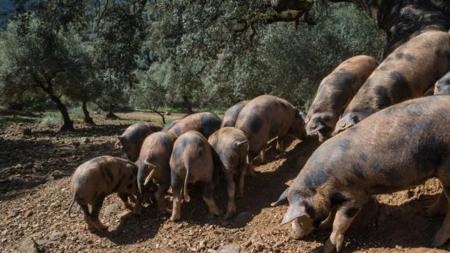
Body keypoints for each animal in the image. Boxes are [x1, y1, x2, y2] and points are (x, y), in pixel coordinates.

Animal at [276, 95, 450, 253]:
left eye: (300, 216)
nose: (293, 235)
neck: (320, 187)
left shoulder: (354, 196)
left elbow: (339, 221)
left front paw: (329, 248)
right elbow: (332, 214)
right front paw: (325, 225)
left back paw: (435, 242)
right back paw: (427, 211)